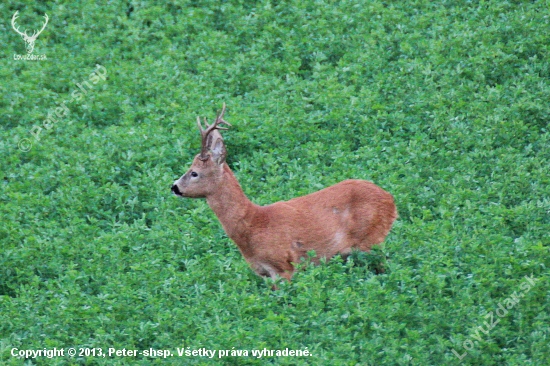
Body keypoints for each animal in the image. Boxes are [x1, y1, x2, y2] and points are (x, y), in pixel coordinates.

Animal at [171, 104, 396, 282]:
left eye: (194, 172)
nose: (174, 187)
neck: (252, 225)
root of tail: (391, 200)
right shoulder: (262, 272)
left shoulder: (284, 266)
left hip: (372, 238)